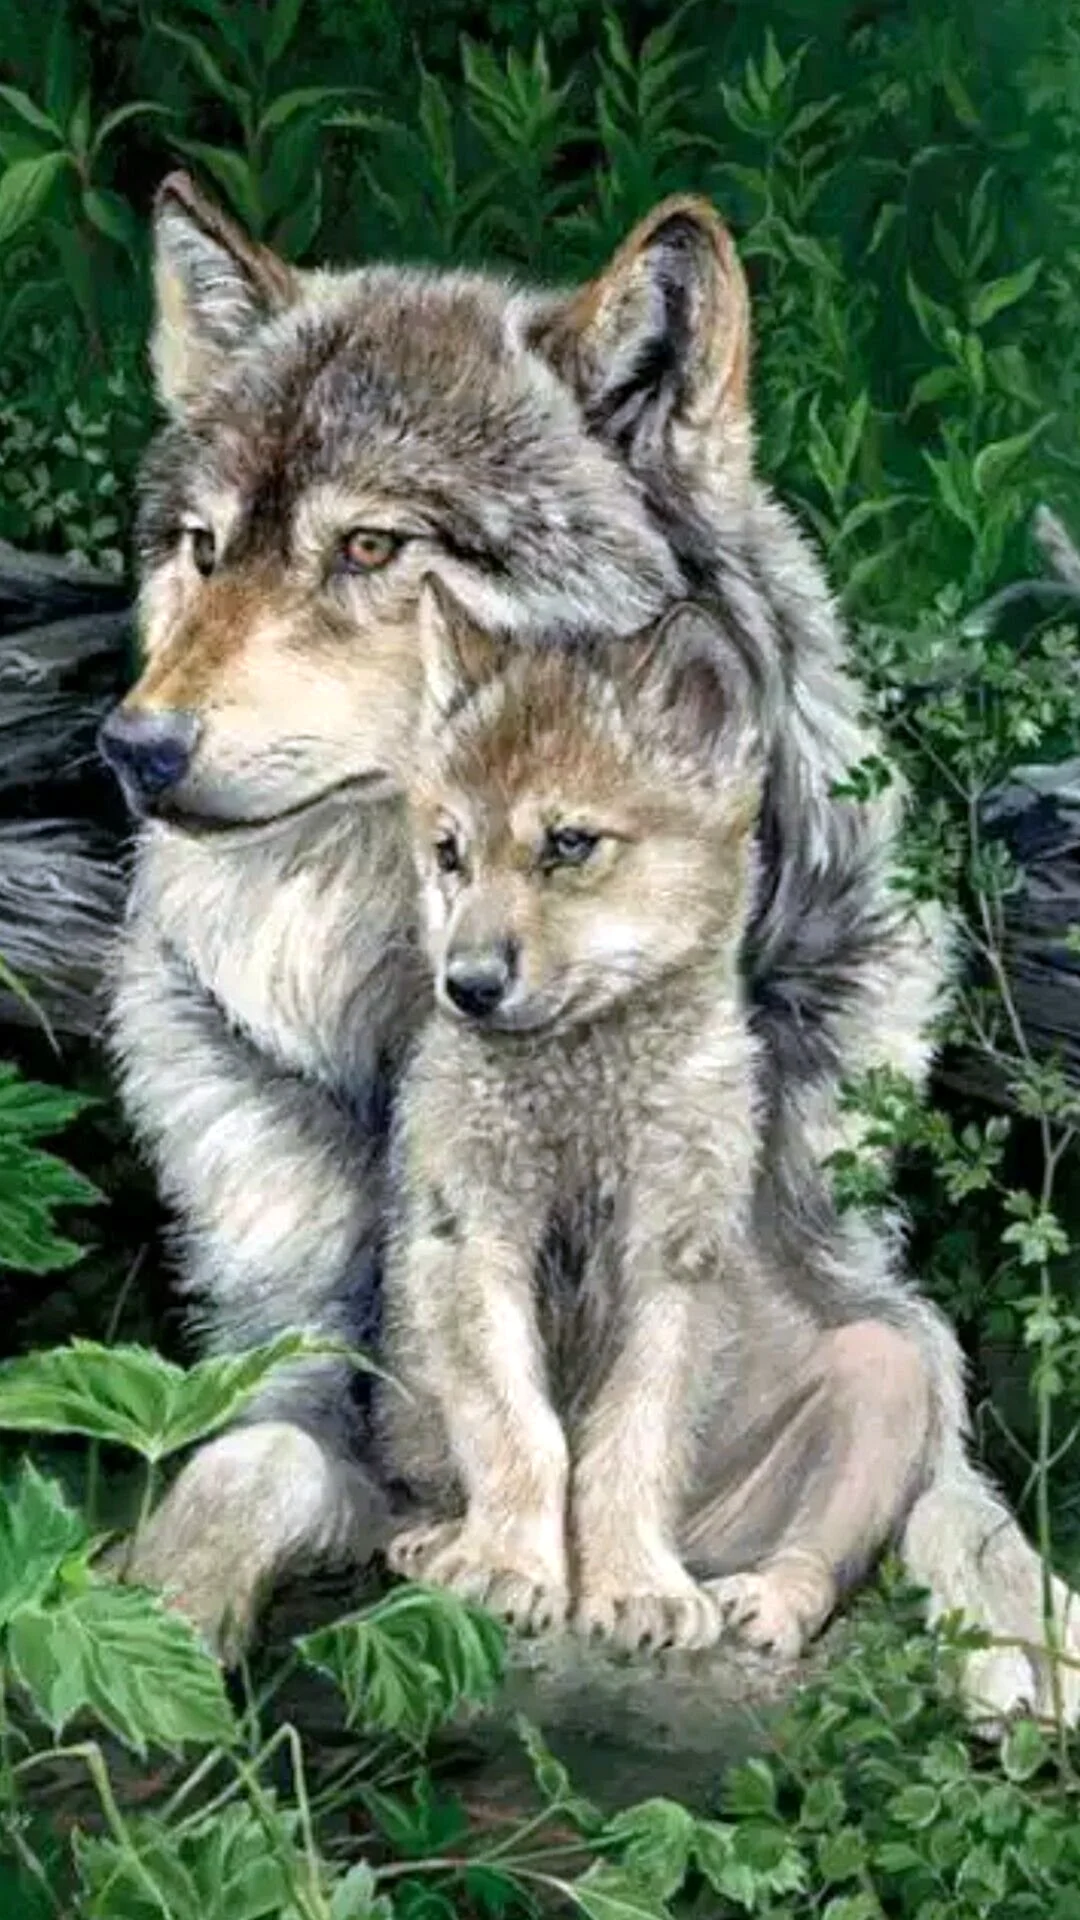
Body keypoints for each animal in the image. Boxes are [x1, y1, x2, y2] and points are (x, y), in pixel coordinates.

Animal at [99, 169, 1080, 1719]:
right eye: (201, 551)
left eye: (370, 546)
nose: (128, 746)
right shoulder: (296, 1359)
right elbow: (241, 1467)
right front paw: (144, 1634)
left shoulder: (843, 1283)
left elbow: (955, 1495)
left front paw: (1034, 1634)